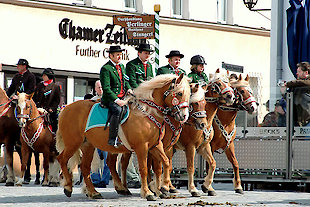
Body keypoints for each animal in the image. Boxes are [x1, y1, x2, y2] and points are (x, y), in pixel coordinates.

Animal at [56, 73, 190, 201]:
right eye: (179, 93)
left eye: (189, 95)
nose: (184, 116)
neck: (146, 113)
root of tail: (66, 108)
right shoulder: (142, 147)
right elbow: (144, 169)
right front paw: (148, 192)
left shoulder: (155, 146)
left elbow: (166, 163)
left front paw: (164, 188)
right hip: (73, 143)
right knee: (62, 159)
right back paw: (68, 187)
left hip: (88, 145)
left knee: (85, 168)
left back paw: (94, 192)